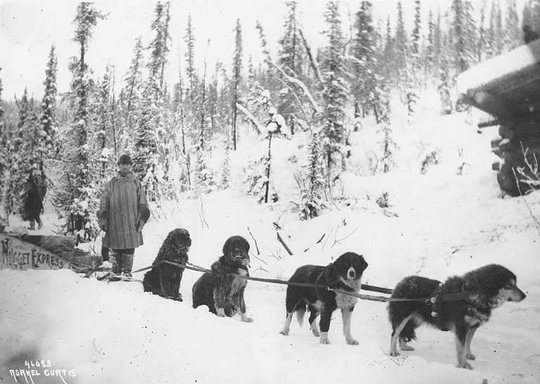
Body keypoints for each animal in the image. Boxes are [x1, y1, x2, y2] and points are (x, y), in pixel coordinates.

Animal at [388, 264, 528, 368]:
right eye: (508, 286)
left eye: (516, 284)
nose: (524, 295)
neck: (470, 297)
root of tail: (402, 283)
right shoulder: (461, 327)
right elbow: (461, 348)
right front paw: (463, 365)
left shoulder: (472, 327)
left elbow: (467, 343)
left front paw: (468, 355)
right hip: (403, 317)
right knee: (394, 333)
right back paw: (393, 351)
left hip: (416, 320)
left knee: (402, 333)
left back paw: (404, 346)